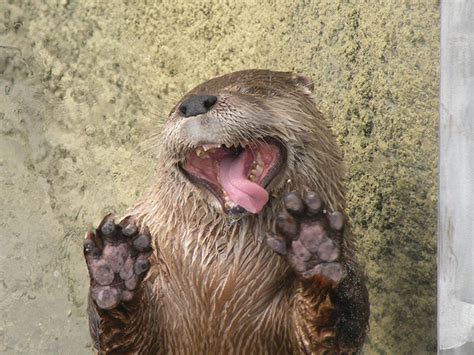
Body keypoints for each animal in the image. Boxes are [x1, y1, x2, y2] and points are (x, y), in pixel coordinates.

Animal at [83, 70, 368, 355]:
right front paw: (116, 263)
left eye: (250, 90)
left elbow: (333, 331)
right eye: (176, 107)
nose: (194, 104)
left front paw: (313, 241)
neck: (218, 275)